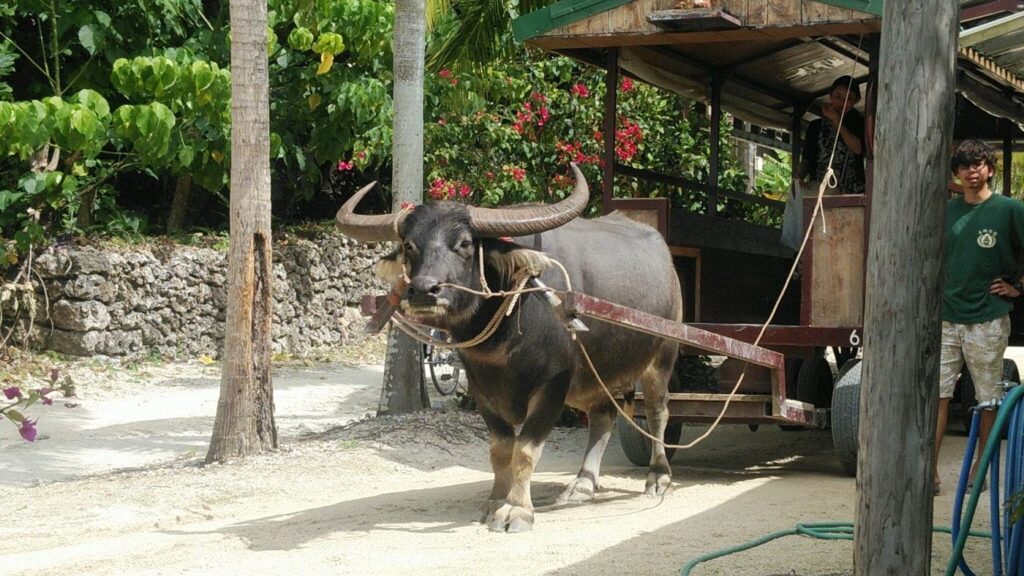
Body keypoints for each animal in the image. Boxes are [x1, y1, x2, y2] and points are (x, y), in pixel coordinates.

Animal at [336, 164, 682, 532]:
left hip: (662, 357)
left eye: (464, 243)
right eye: (410, 244)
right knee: (603, 417)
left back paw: (658, 477)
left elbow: (526, 450)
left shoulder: (553, 385)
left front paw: (517, 509)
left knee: (658, 412)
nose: (424, 290)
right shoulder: (482, 389)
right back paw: (583, 484)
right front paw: (495, 500)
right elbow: (501, 449)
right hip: (597, 372)